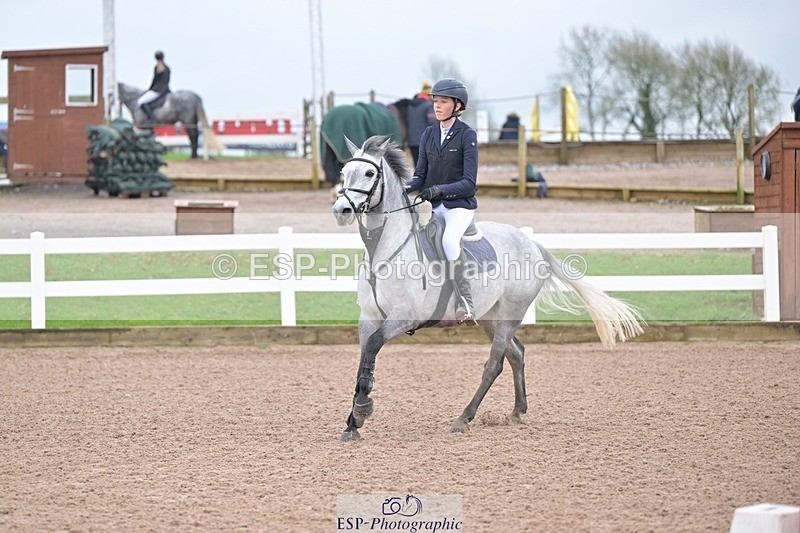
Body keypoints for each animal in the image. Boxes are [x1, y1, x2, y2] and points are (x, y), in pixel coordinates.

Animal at [332, 135, 644, 442]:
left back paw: (463, 419)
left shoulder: (403, 317)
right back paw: (517, 411)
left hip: (509, 313)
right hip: (488, 317)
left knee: (495, 363)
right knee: (516, 353)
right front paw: (353, 423)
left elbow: (373, 348)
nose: (341, 211)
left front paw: (362, 409)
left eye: (370, 173)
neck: (386, 250)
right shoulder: (368, 318)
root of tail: (532, 243)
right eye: (344, 172)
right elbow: (364, 357)